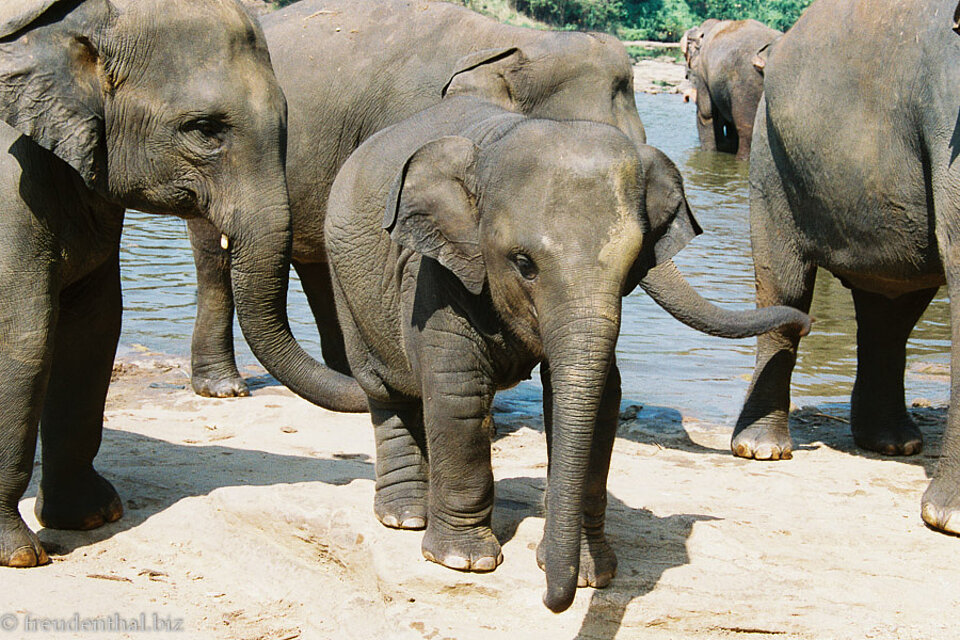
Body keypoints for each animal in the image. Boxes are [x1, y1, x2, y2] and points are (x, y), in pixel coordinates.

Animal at [0, 0, 364, 568]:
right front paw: (21, 556)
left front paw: (92, 518)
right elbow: (25, 333)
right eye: (205, 129)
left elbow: (94, 328)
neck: (68, 21)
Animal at [324, 95, 812, 612]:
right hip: (347, 284)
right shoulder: (434, 271)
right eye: (524, 264)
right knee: (387, 391)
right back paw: (405, 518)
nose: (550, 600)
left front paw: (592, 575)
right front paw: (465, 562)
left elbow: (594, 401)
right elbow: (458, 391)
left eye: (632, 265)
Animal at [732, 0, 960, 535]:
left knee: (891, 313)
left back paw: (893, 444)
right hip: (772, 158)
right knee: (785, 289)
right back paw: (761, 450)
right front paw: (949, 521)